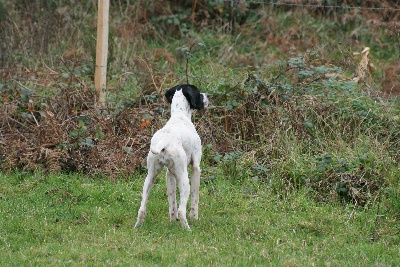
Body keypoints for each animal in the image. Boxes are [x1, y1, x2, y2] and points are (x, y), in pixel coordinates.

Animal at [134, 84, 209, 230]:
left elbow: (171, 203)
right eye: (198, 92)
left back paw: (137, 226)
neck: (180, 116)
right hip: (184, 180)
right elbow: (195, 198)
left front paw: (172, 221)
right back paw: (187, 229)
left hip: (150, 178)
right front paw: (195, 217)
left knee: (142, 209)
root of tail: (164, 141)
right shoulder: (196, 168)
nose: (207, 96)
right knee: (181, 210)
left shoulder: (169, 174)